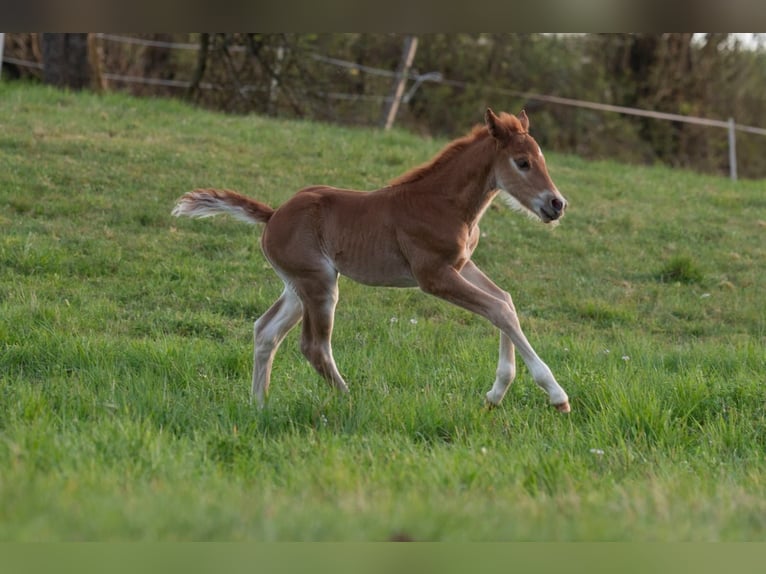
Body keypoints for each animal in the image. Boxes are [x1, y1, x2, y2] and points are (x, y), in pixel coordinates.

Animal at [172, 108, 571, 413]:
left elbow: (504, 300)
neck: (445, 203)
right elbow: (497, 309)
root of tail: (272, 215)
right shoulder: (433, 275)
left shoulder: (461, 265)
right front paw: (555, 395)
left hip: (299, 285)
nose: (557, 204)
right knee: (313, 346)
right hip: (319, 283)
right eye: (522, 163)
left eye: (541, 160)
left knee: (265, 330)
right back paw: (349, 399)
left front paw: (495, 394)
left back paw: (259, 405)